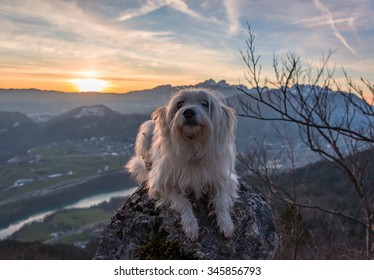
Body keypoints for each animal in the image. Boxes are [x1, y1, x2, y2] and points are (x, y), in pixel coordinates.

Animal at [125, 88, 237, 241]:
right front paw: (191, 225)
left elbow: (222, 201)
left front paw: (226, 224)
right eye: (179, 104)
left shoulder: (222, 179)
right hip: (147, 129)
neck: (193, 147)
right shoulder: (166, 183)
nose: (188, 111)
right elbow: (183, 204)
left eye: (204, 103)